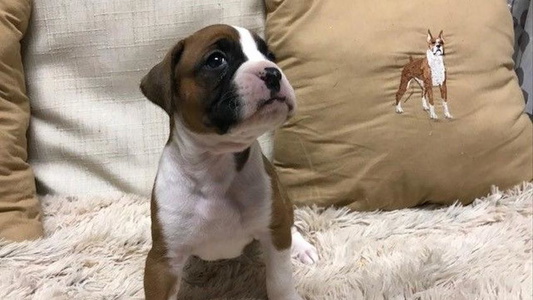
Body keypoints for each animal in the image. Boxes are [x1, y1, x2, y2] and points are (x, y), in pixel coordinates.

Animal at [139, 24, 318, 300]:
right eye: (216, 60)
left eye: (270, 55)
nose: (273, 72)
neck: (216, 166)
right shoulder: (163, 260)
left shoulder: (273, 233)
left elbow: (280, 280)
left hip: (282, 204)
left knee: (290, 223)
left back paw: (302, 246)